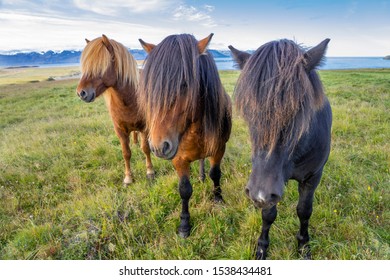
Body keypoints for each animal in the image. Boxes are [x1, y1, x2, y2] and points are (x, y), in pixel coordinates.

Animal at [75, 34, 155, 185]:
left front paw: (150, 171)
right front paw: (128, 178)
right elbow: (126, 153)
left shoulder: (144, 127)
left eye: (100, 65)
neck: (130, 100)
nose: (81, 93)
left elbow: (146, 148)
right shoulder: (120, 130)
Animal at [139, 33, 232, 238]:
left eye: (184, 84)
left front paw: (218, 198)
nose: (159, 146)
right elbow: (184, 189)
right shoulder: (178, 158)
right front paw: (184, 224)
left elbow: (216, 173)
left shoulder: (219, 148)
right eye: (150, 87)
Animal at [229, 38, 332, 260]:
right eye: (248, 111)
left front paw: (303, 246)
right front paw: (262, 248)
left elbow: (304, 211)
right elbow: (268, 214)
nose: (259, 194)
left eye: (300, 109)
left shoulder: (312, 177)